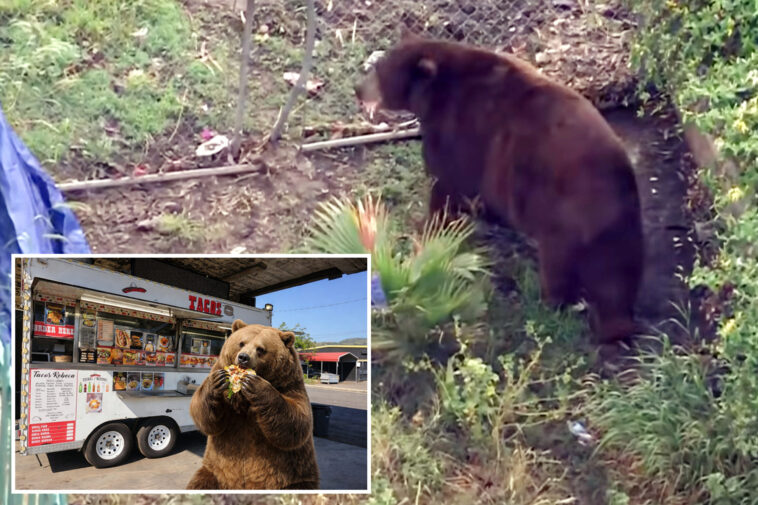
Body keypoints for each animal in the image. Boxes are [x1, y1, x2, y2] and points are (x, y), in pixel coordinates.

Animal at [186, 320, 319, 490]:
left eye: (261, 349)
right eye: (241, 343)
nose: (243, 357)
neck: (242, 398)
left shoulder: (290, 385)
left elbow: (298, 421)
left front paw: (255, 384)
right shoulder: (228, 405)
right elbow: (206, 418)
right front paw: (218, 381)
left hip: (294, 478)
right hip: (214, 470)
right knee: (201, 483)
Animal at [355, 32, 644, 343]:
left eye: (379, 69)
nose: (358, 89)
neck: (434, 93)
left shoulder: (458, 129)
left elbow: (445, 184)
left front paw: (430, 227)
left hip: (562, 218)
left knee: (558, 266)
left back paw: (549, 302)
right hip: (623, 232)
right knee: (617, 278)